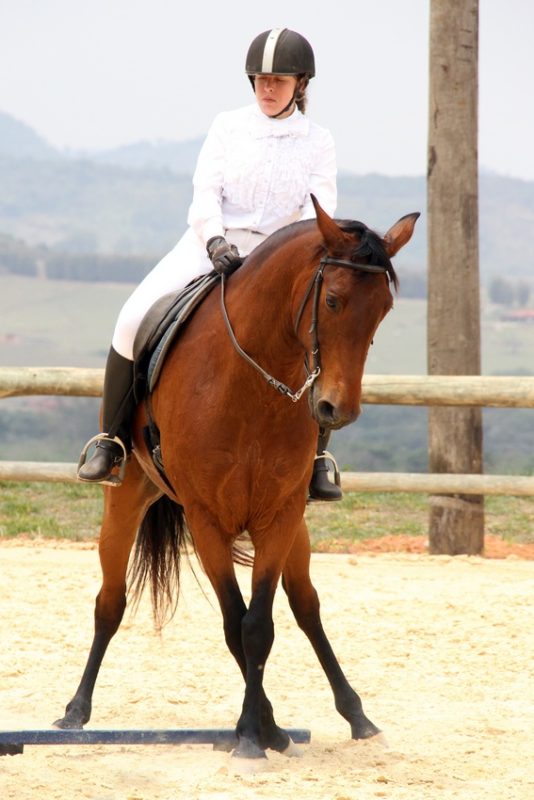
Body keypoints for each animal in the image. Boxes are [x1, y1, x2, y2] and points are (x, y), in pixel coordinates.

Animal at [55, 197, 422, 760]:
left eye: (383, 309)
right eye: (332, 300)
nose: (336, 409)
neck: (251, 383)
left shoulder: (280, 515)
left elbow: (259, 624)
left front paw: (260, 731)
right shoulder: (207, 519)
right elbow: (236, 623)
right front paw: (252, 736)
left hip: (295, 526)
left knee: (306, 606)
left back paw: (355, 717)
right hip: (127, 498)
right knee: (109, 603)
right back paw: (76, 711)